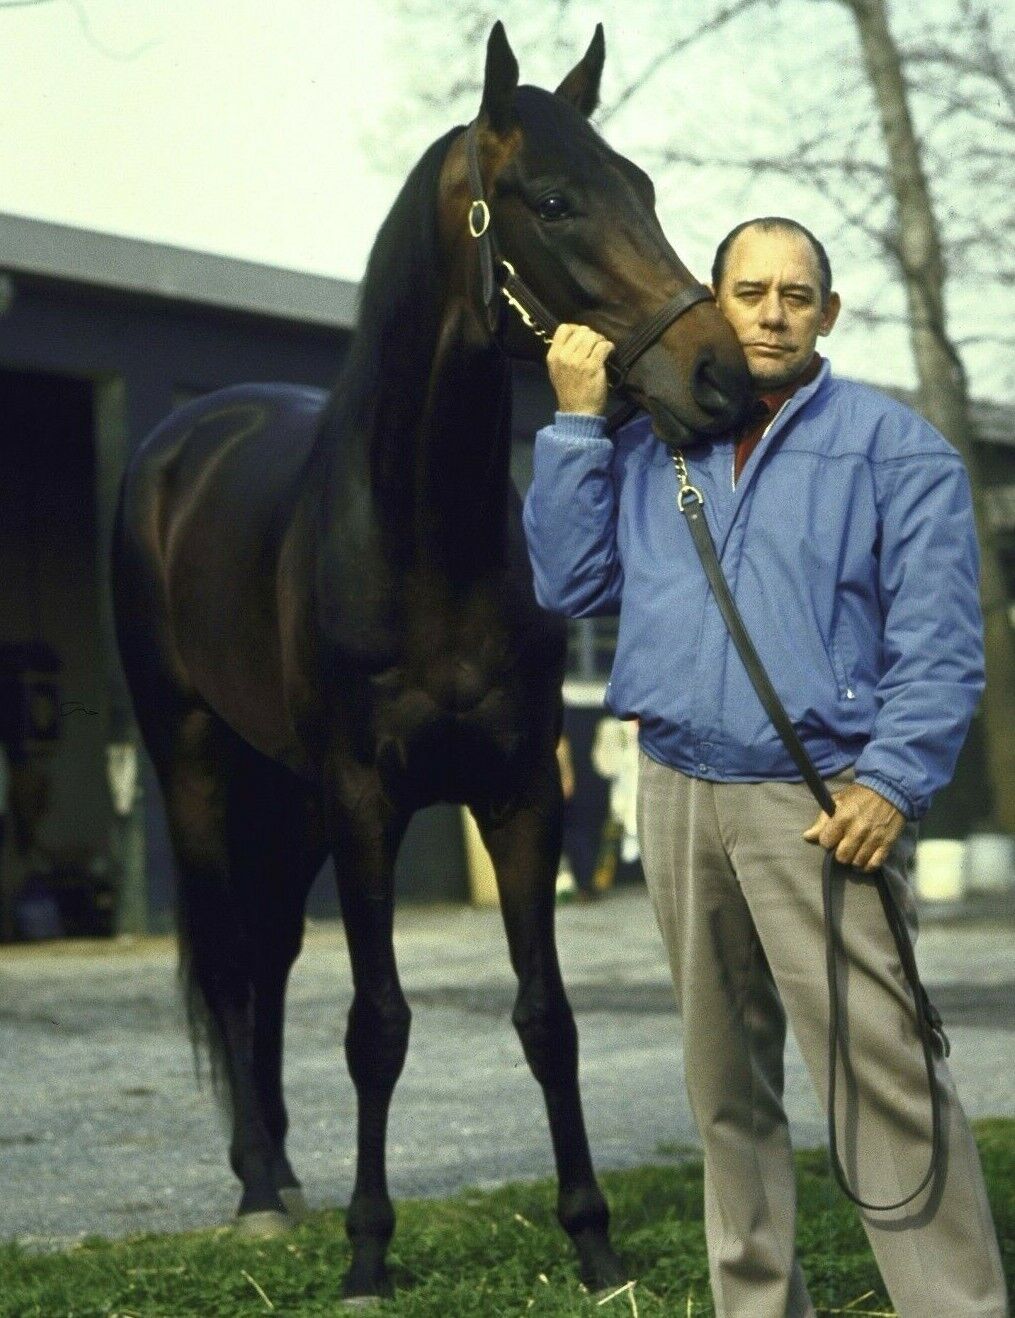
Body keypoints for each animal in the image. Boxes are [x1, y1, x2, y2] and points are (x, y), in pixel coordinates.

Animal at [112, 23, 748, 1307]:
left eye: (644, 190)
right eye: (552, 201)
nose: (718, 377)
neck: (420, 536)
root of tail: (180, 442)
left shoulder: (519, 791)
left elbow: (547, 1015)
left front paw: (592, 1238)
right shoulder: (368, 799)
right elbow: (377, 1024)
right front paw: (368, 1253)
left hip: (288, 792)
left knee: (269, 949)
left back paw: (285, 1176)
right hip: (195, 760)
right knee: (229, 959)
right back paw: (259, 1194)